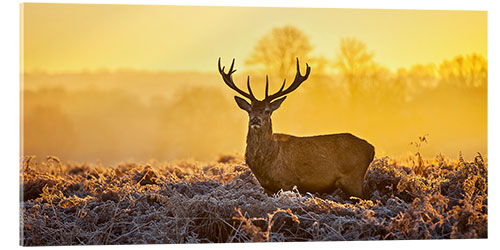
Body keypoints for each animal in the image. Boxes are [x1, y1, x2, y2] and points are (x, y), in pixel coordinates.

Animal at [219, 57, 376, 198]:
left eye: (267, 111)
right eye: (249, 110)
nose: (255, 120)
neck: (266, 163)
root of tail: (371, 149)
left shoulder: (288, 182)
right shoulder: (267, 187)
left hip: (353, 178)